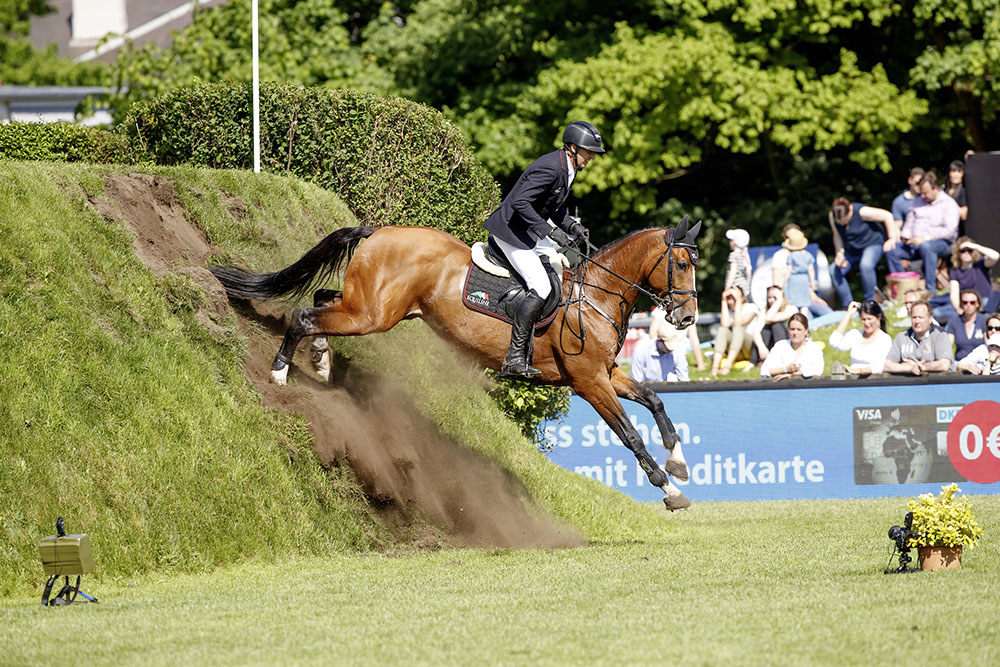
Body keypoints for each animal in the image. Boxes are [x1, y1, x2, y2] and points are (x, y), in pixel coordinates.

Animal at [207, 217, 700, 508]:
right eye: (680, 264)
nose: (687, 317)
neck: (595, 295)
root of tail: (379, 231)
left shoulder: (607, 374)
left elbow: (655, 401)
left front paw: (678, 462)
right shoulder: (589, 382)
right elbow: (630, 435)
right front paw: (669, 489)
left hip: (370, 307)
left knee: (321, 300)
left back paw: (321, 359)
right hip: (372, 315)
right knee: (303, 316)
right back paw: (279, 370)